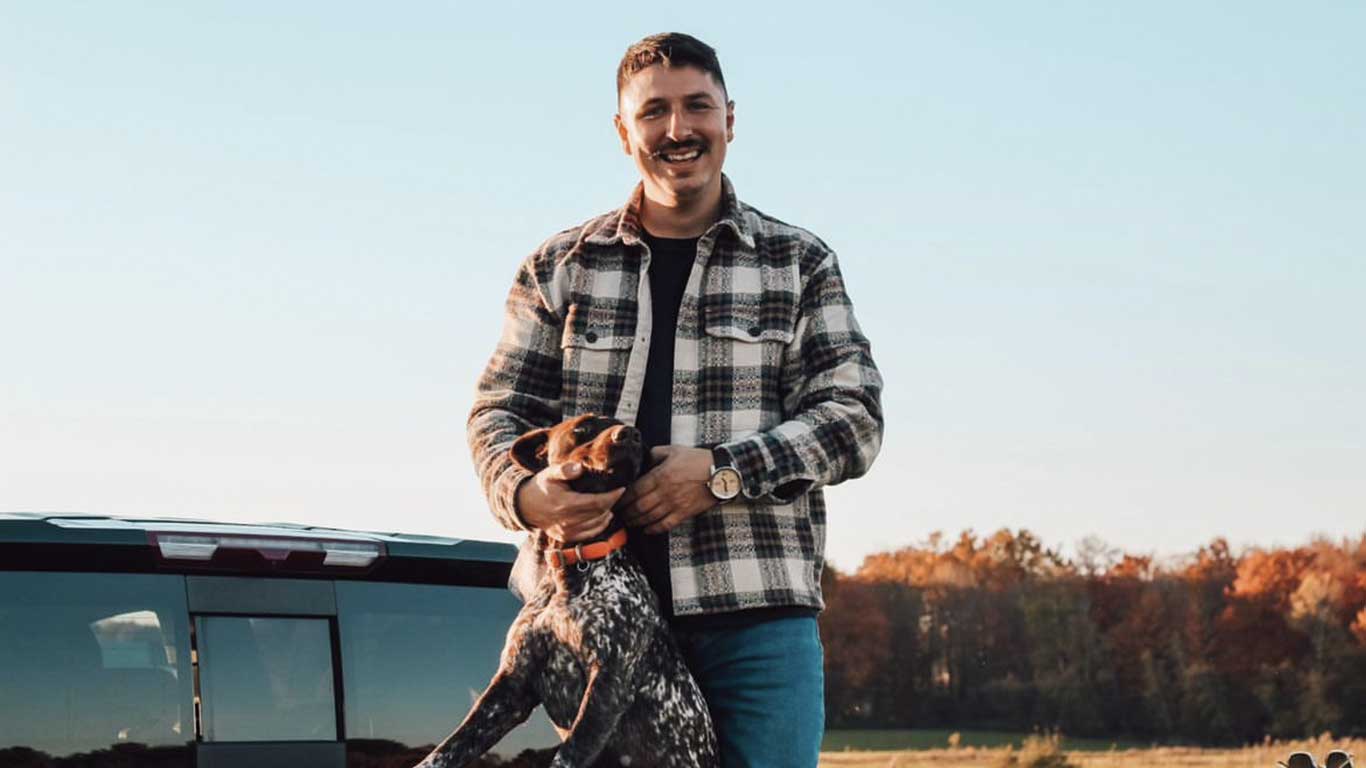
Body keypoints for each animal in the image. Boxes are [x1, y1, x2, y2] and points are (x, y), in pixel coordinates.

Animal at [415, 412, 721, 765]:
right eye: (582, 429)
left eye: (637, 436)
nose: (630, 434)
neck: (575, 566)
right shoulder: (512, 683)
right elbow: (448, 748)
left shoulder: (608, 681)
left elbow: (568, 754)